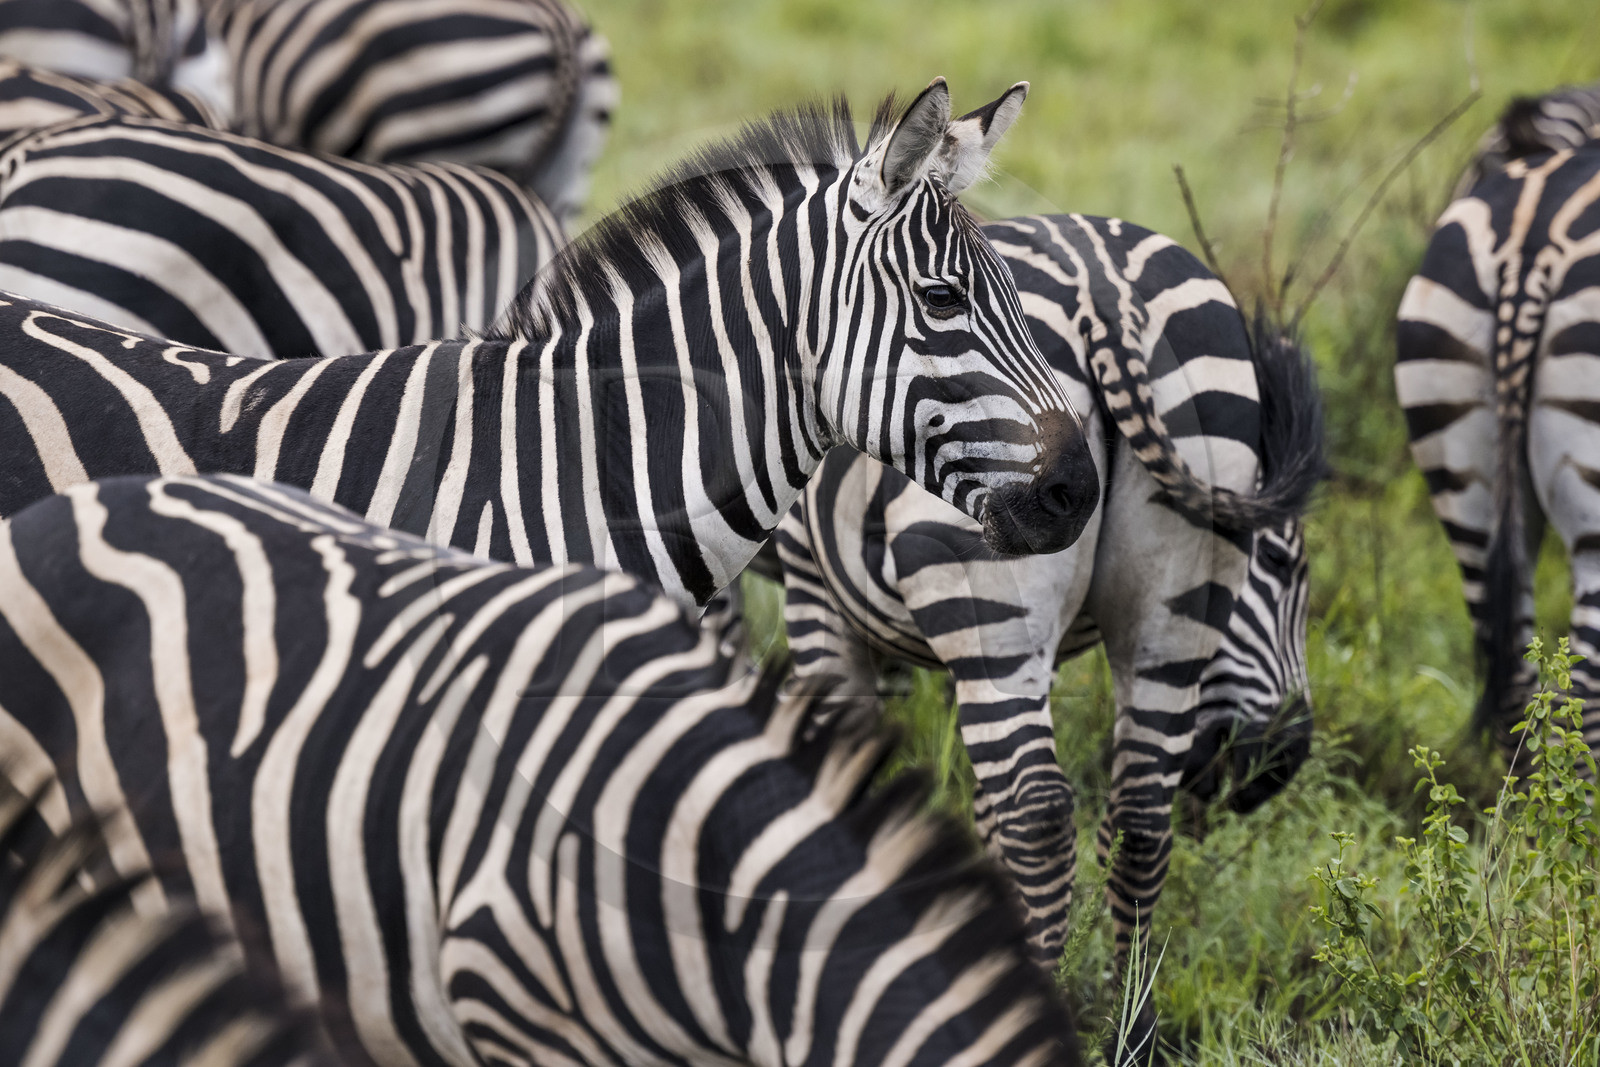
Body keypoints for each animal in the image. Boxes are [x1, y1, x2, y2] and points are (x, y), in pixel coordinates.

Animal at [772, 214, 1324, 1061]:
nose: (1279, 763)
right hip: (1165, 603)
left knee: (1040, 813)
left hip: (990, 577)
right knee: (1138, 816)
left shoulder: (816, 590)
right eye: (1281, 566)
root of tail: (1106, 290)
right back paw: (1133, 1030)